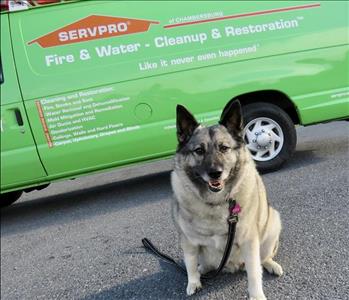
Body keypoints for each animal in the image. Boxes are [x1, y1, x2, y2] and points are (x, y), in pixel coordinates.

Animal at [171, 99, 282, 298]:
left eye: (224, 148)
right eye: (199, 150)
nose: (215, 172)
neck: (216, 201)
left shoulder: (249, 241)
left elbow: (254, 273)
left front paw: (256, 295)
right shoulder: (188, 241)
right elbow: (190, 263)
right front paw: (193, 282)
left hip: (271, 227)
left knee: (263, 259)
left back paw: (271, 265)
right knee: (203, 265)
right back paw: (202, 270)